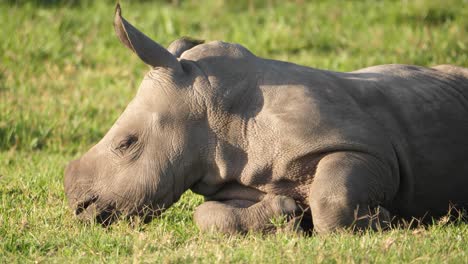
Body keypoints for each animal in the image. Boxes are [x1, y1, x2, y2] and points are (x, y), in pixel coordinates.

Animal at [64, 5, 468, 234]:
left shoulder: (369, 148)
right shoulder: (233, 174)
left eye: (126, 143)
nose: (78, 207)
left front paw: (384, 219)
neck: (215, 111)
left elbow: (331, 198)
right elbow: (209, 217)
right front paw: (288, 215)